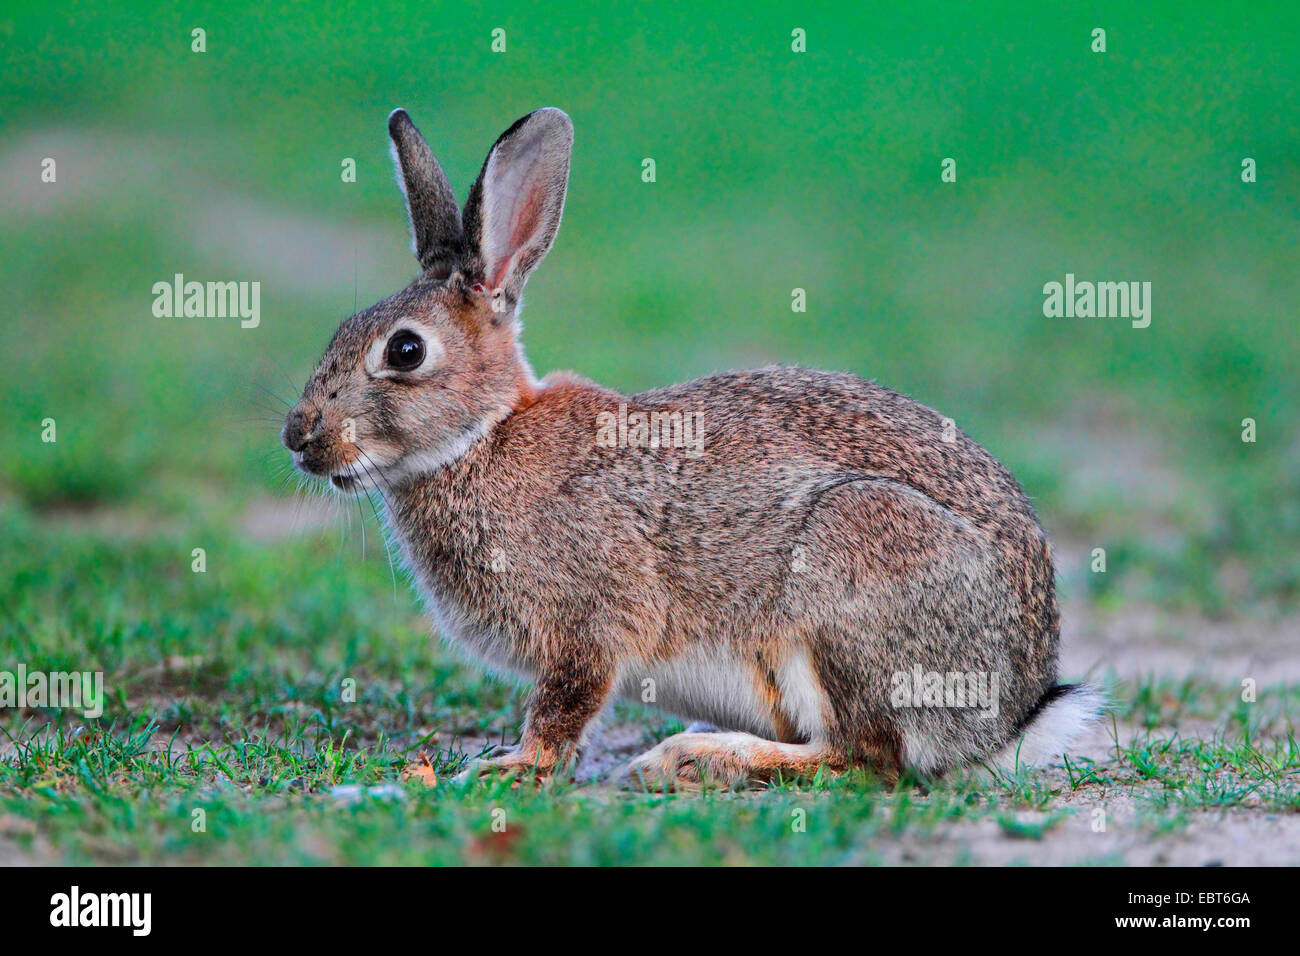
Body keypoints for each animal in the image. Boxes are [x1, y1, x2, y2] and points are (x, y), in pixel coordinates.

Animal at [281, 106, 1103, 789]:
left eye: (406, 351)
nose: (300, 438)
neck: (482, 436)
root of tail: (1010, 714)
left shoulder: (588, 626)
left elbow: (564, 708)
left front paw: (509, 768)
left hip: (851, 569)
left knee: (867, 757)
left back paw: (693, 760)